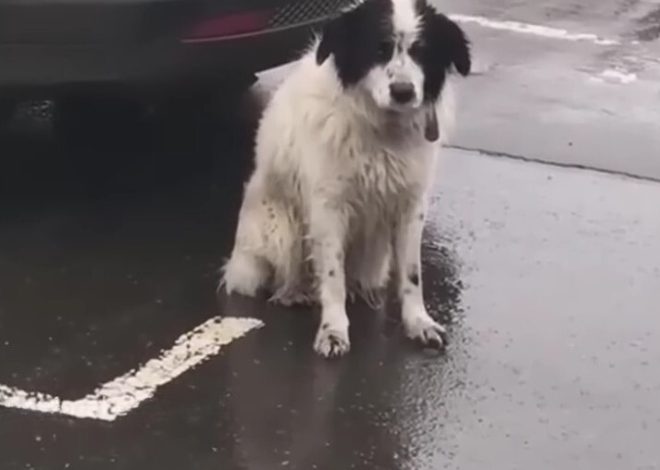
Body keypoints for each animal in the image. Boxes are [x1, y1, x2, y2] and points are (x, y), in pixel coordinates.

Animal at [224, 0, 472, 356]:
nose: (403, 92)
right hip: (279, 229)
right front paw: (333, 330)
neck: (383, 131)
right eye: (379, 49)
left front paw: (418, 323)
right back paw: (294, 292)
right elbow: (331, 276)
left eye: (422, 51)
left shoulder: (411, 205)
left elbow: (412, 275)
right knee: (285, 273)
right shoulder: (328, 208)